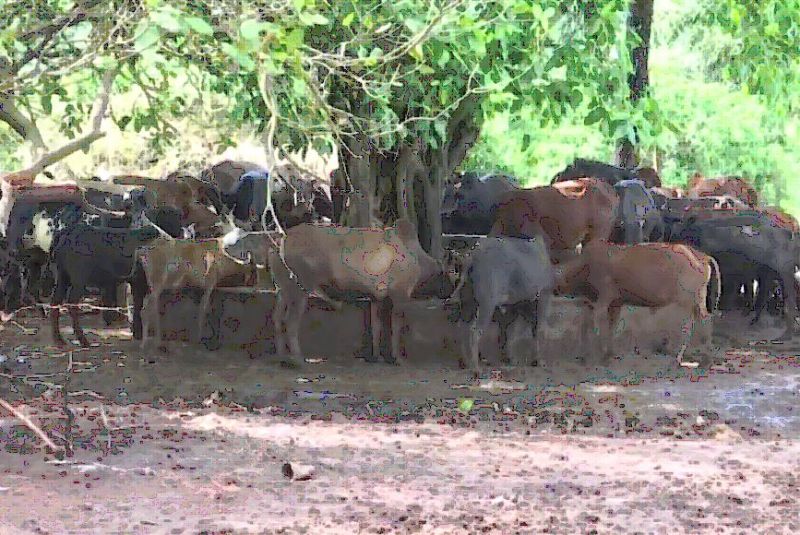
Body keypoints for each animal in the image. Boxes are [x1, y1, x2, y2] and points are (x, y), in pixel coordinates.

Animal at [268, 218, 445, 363]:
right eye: (444, 274)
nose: (447, 292)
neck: (416, 256)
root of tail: (281, 242)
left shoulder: (376, 298)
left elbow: (376, 327)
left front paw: (377, 357)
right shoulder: (399, 295)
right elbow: (395, 327)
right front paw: (397, 358)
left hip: (283, 290)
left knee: (277, 318)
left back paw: (281, 357)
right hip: (299, 290)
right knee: (290, 322)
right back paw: (297, 359)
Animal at [449, 235, 554, 370]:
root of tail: (472, 255)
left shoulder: (517, 304)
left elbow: (512, 331)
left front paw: (512, 358)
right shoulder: (543, 296)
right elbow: (538, 328)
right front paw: (539, 361)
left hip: (468, 302)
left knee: (462, 327)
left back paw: (466, 362)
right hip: (487, 303)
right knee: (475, 331)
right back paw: (476, 368)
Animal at [555, 241, 720, 367]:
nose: (556, 288)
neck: (586, 264)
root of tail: (701, 256)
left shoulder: (603, 300)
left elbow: (598, 327)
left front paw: (598, 356)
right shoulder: (613, 303)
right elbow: (603, 327)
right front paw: (606, 353)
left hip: (686, 301)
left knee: (691, 325)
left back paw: (682, 359)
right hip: (697, 299)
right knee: (704, 320)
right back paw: (704, 359)